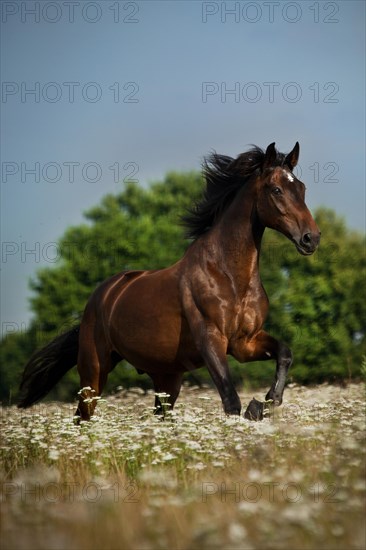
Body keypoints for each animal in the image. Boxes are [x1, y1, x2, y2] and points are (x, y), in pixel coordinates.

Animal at [17, 143, 320, 422]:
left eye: (302, 188)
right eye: (276, 190)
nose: (311, 238)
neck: (229, 277)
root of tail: (101, 296)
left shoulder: (244, 343)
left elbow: (285, 353)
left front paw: (265, 403)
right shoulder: (211, 340)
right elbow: (230, 400)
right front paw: (252, 410)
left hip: (167, 378)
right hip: (94, 369)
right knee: (83, 415)